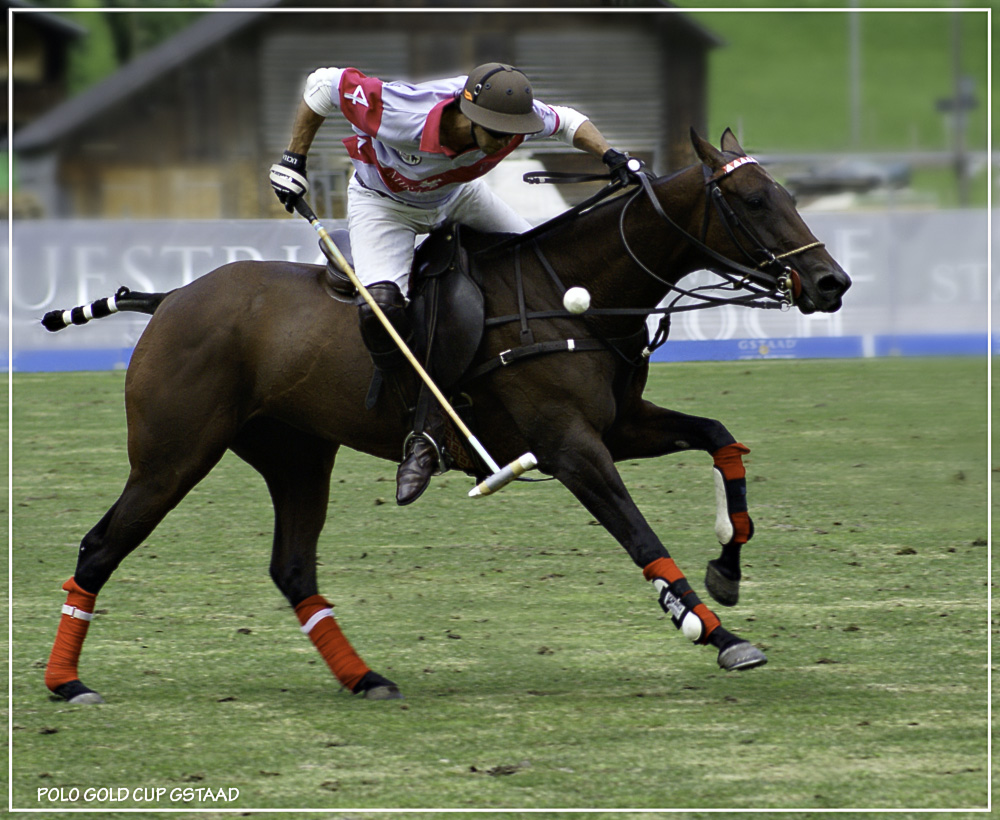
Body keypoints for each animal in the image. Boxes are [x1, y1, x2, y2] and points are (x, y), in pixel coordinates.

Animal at [41, 130, 852, 704]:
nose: (831, 282)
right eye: (753, 201)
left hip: (297, 455)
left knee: (293, 568)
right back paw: (67, 683)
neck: (576, 297)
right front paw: (713, 630)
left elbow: (721, 439)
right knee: (99, 547)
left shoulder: (621, 427)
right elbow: (639, 535)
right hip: (172, 454)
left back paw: (365, 677)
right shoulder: (570, 446)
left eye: (786, 193)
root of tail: (170, 298)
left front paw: (728, 569)